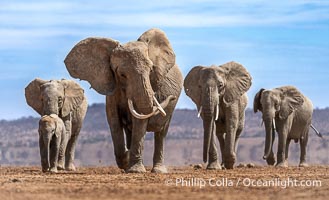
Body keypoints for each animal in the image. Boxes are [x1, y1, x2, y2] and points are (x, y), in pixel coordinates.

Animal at [63, 28, 182, 173]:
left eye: (151, 70)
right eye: (122, 75)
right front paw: (127, 160)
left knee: (161, 133)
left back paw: (158, 170)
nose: (171, 97)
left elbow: (139, 121)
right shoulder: (111, 88)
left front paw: (135, 170)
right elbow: (114, 120)